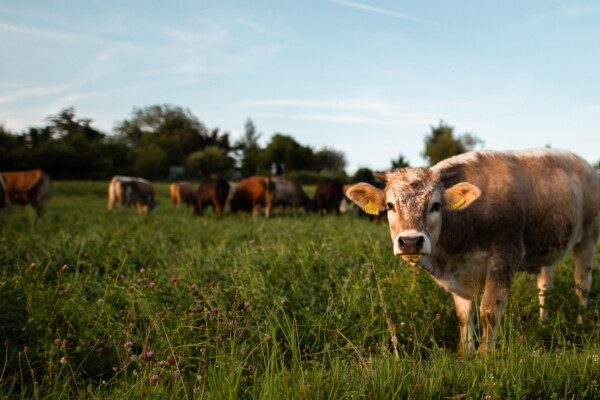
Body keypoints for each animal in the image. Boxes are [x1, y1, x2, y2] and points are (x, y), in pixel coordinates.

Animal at [344, 149, 600, 356]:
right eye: (390, 206)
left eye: (436, 205)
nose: (410, 241)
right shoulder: (459, 274)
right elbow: (464, 316)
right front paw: (465, 353)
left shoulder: (505, 255)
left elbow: (489, 311)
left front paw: (484, 355)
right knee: (546, 284)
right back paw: (543, 321)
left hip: (588, 239)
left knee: (582, 283)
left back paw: (580, 322)